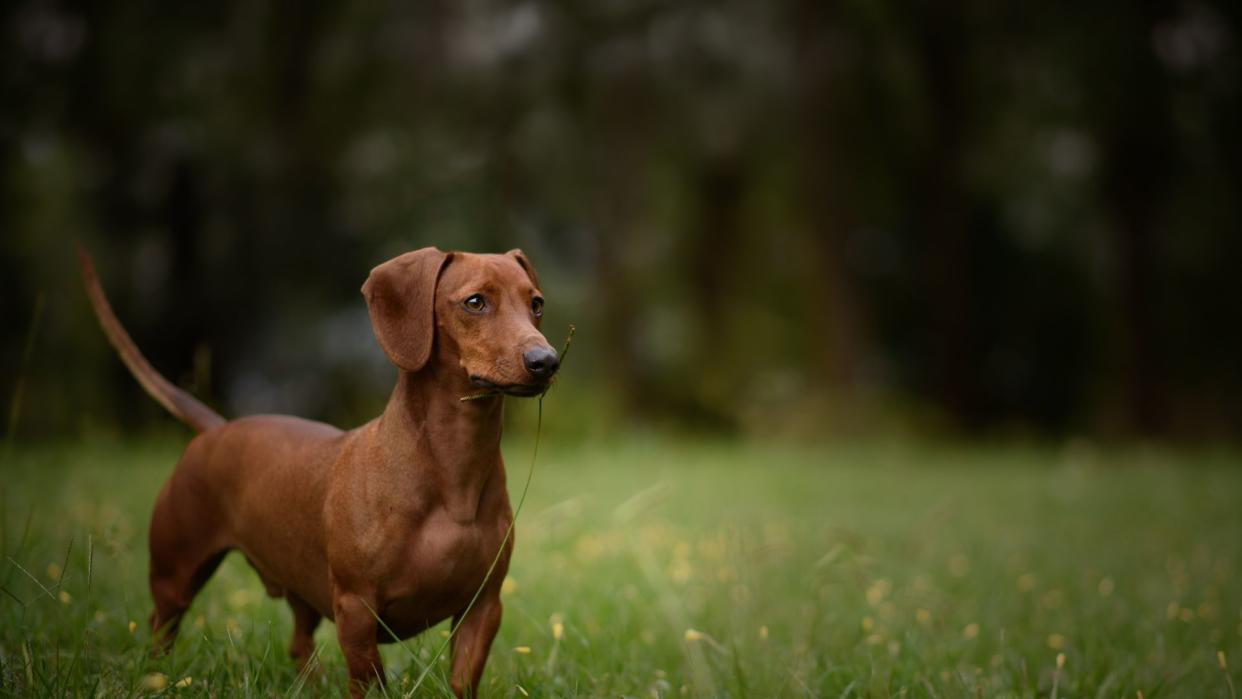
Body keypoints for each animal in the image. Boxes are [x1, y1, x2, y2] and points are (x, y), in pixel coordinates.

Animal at [78, 248, 558, 695]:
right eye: (475, 302)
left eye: (536, 303)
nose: (546, 361)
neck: (454, 469)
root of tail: (216, 429)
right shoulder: (356, 607)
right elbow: (369, 679)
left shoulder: (483, 607)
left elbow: (462, 681)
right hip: (174, 575)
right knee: (161, 627)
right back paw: (156, 678)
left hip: (301, 590)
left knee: (297, 644)